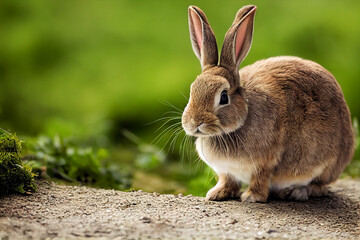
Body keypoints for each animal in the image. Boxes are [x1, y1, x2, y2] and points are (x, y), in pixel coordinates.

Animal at [181, 4, 356, 202]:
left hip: (326, 161)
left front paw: (251, 197)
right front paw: (216, 194)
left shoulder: (265, 162)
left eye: (223, 96)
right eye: (192, 90)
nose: (195, 122)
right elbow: (228, 181)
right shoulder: (226, 171)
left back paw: (296, 192)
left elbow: (260, 179)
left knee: (319, 185)